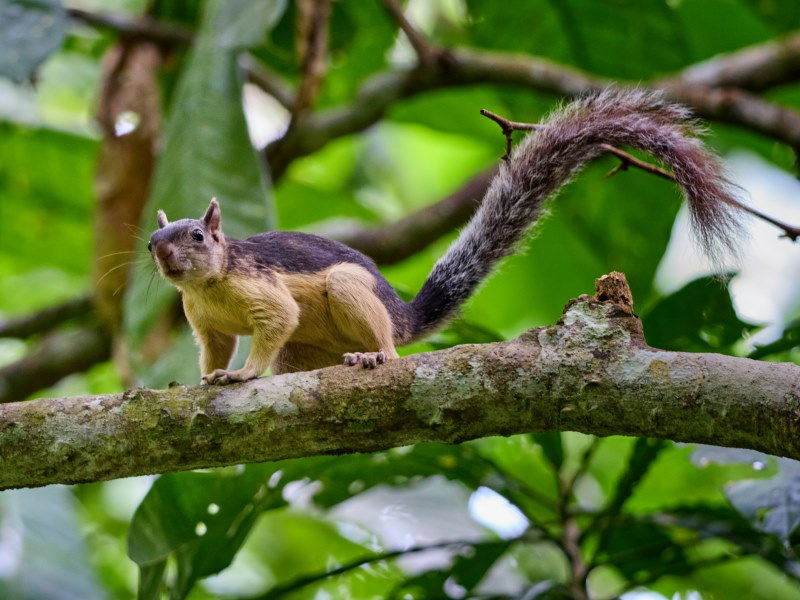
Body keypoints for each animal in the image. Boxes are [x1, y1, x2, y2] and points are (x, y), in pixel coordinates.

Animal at [148, 91, 744, 386]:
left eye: (197, 235)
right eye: (153, 241)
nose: (166, 255)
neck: (210, 285)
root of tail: (403, 316)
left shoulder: (262, 290)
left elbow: (275, 321)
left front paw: (244, 373)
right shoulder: (204, 325)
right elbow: (214, 348)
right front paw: (207, 378)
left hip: (348, 291)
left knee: (383, 342)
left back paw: (378, 356)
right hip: (307, 351)